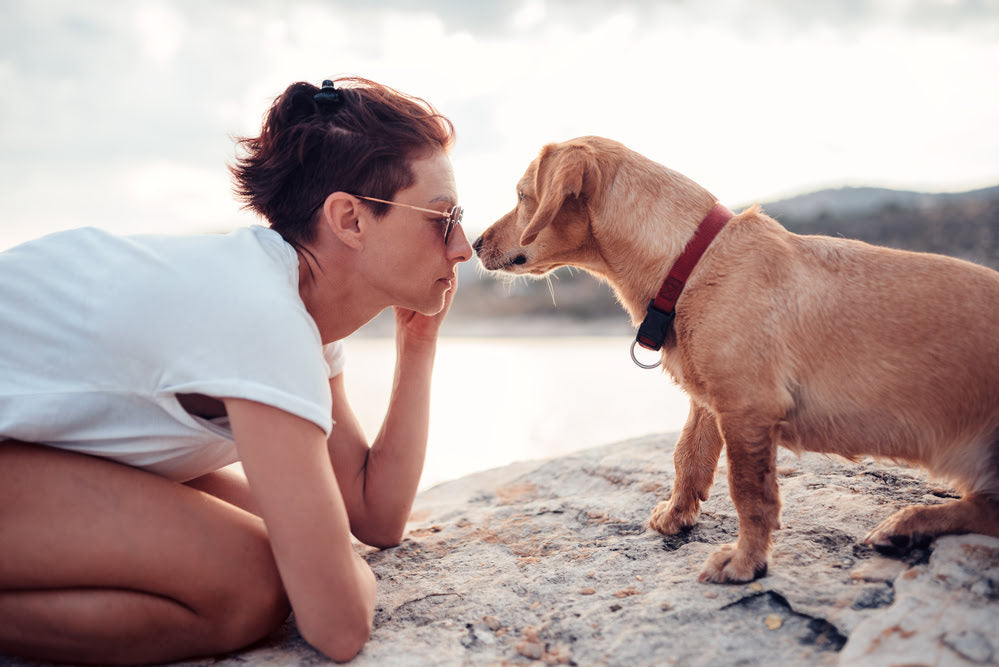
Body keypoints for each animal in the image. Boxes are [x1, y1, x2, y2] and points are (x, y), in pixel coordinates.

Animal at [474, 136, 999, 584]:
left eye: (521, 195)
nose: (474, 244)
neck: (690, 262)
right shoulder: (711, 403)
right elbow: (688, 457)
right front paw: (677, 515)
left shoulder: (748, 410)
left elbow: (750, 494)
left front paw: (746, 561)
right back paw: (909, 524)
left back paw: (910, 521)